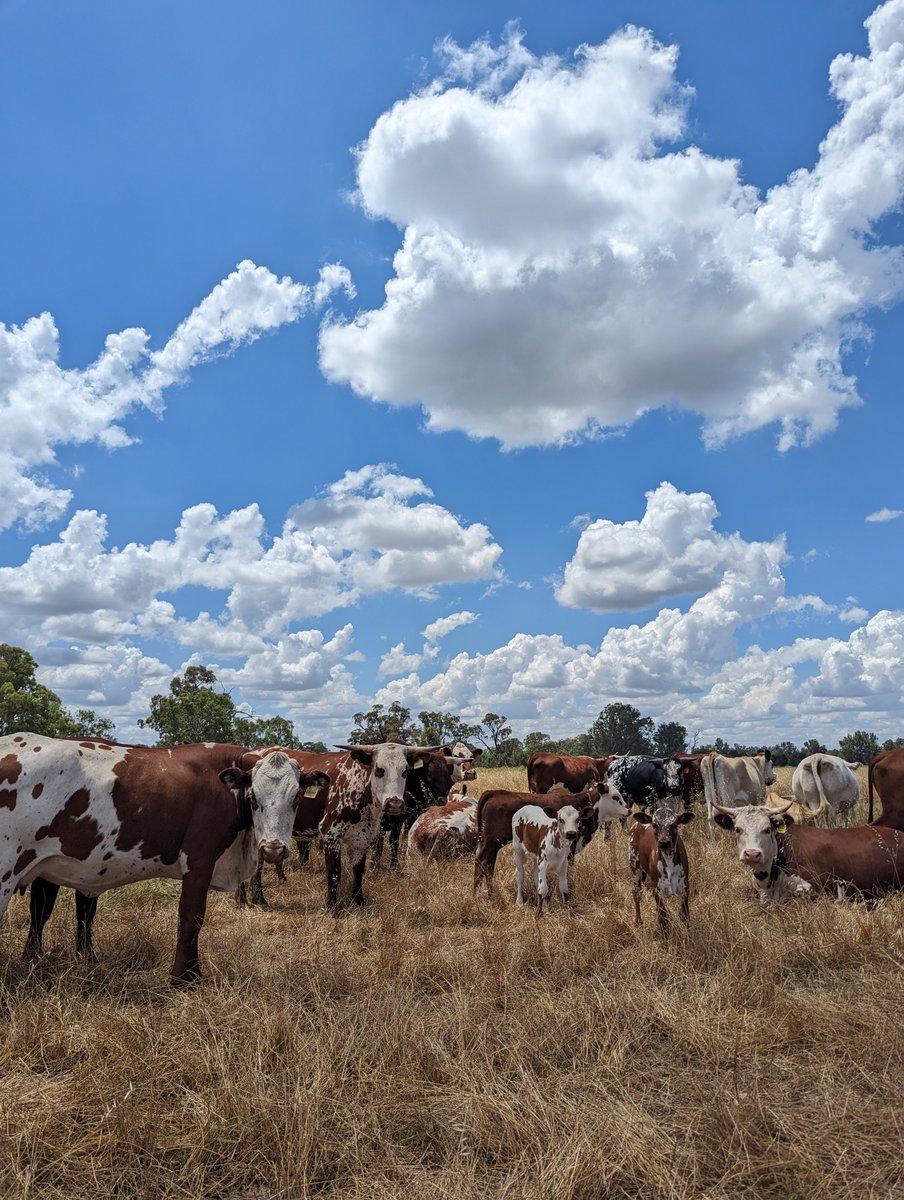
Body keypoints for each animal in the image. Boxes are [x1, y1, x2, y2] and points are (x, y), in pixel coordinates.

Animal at [0, 729, 319, 984]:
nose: (273, 849)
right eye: (254, 798)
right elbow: (191, 918)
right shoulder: (199, 862)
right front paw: (184, 978)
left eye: (296, 798)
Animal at [473, 782, 629, 897]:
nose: (629, 810)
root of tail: (495, 792)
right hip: (492, 843)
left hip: (490, 845)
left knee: (488, 867)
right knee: (481, 863)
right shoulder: (570, 849)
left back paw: (491, 894)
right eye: (615, 797)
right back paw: (477, 896)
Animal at [629, 801, 691, 931]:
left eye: (674, 825)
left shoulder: (684, 887)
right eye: (655, 825)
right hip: (635, 868)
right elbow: (663, 918)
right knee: (636, 893)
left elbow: (684, 916)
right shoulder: (657, 889)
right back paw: (638, 921)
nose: (664, 842)